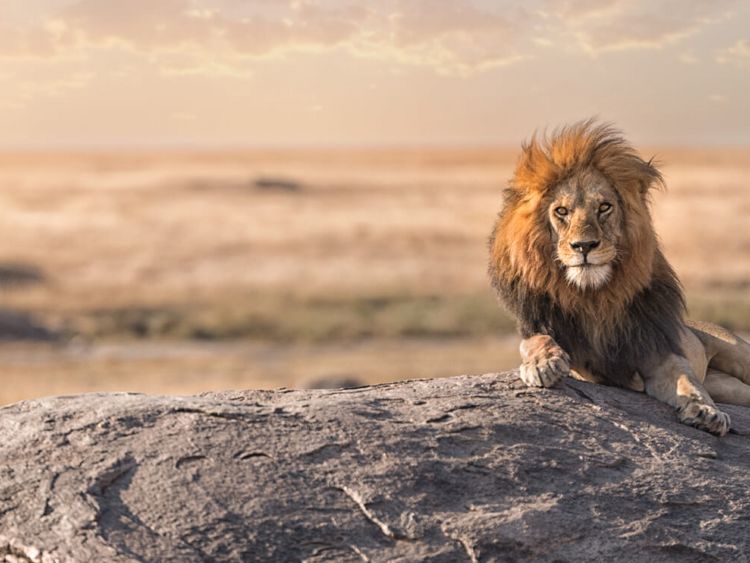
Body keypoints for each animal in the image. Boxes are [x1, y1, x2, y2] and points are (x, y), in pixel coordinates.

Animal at [488, 119, 750, 436]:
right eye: (561, 211)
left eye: (604, 207)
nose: (584, 246)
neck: (594, 295)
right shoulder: (567, 348)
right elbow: (534, 340)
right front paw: (544, 363)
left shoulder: (657, 351)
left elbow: (687, 382)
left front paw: (706, 411)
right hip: (727, 386)